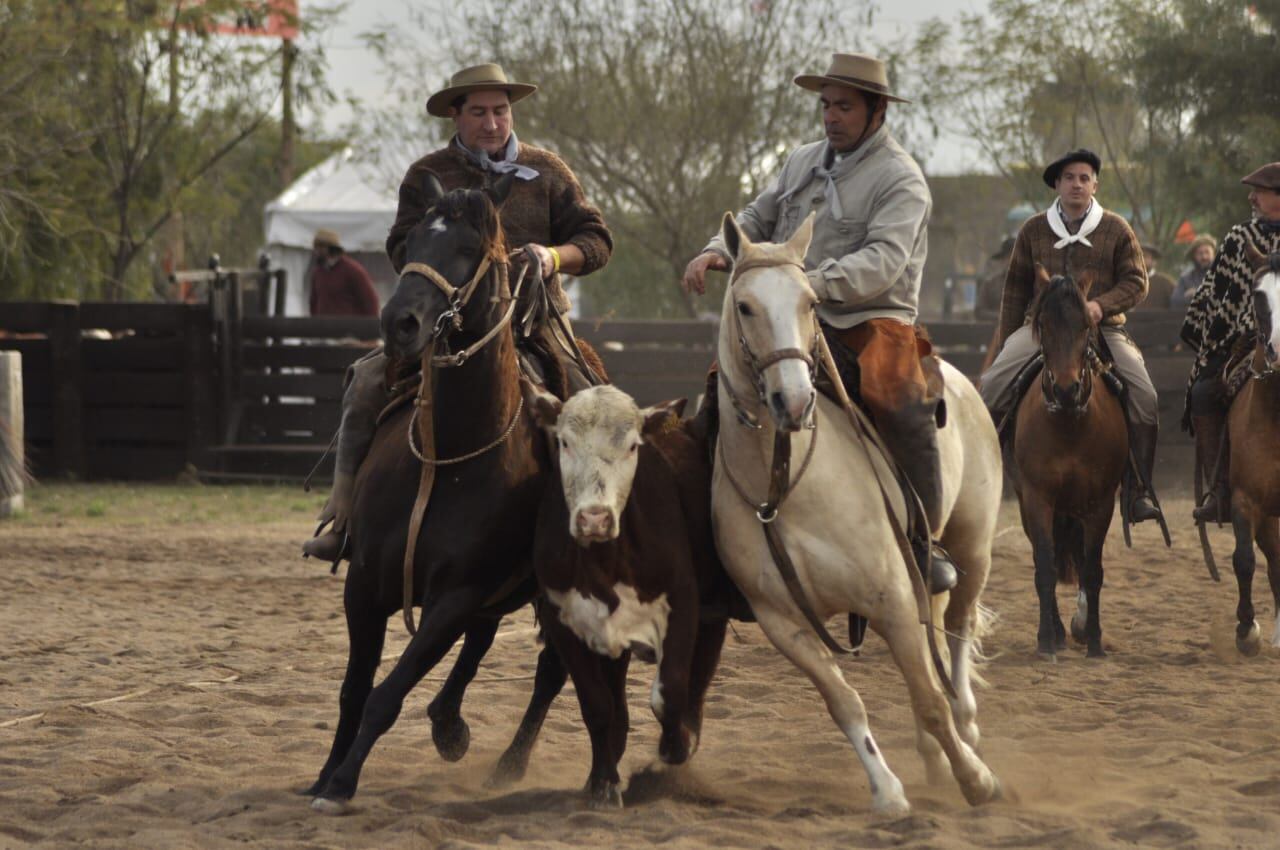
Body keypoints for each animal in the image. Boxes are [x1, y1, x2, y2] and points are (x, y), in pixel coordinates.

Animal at [519, 381, 727, 809]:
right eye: (564, 442)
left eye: (633, 446)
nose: (594, 518)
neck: (606, 562)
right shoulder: (562, 621)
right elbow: (597, 705)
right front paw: (603, 785)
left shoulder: (683, 604)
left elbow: (669, 692)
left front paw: (673, 748)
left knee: (697, 680)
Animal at [711, 213, 998, 819]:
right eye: (745, 306)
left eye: (809, 302)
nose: (794, 402)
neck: (787, 484)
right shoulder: (784, 623)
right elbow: (845, 702)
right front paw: (887, 790)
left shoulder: (890, 598)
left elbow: (929, 698)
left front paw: (977, 780)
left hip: (972, 546)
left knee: (958, 632)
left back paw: (966, 727)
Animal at [1008, 266, 1131, 655]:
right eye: (1043, 325)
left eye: (1085, 326)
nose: (1065, 389)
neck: (1068, 424)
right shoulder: (1037, 500)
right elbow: (1045, 566)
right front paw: (1047, 639)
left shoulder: (1100, 503)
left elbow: (1092, 570)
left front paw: (1094, 640)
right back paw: (1059, 631)